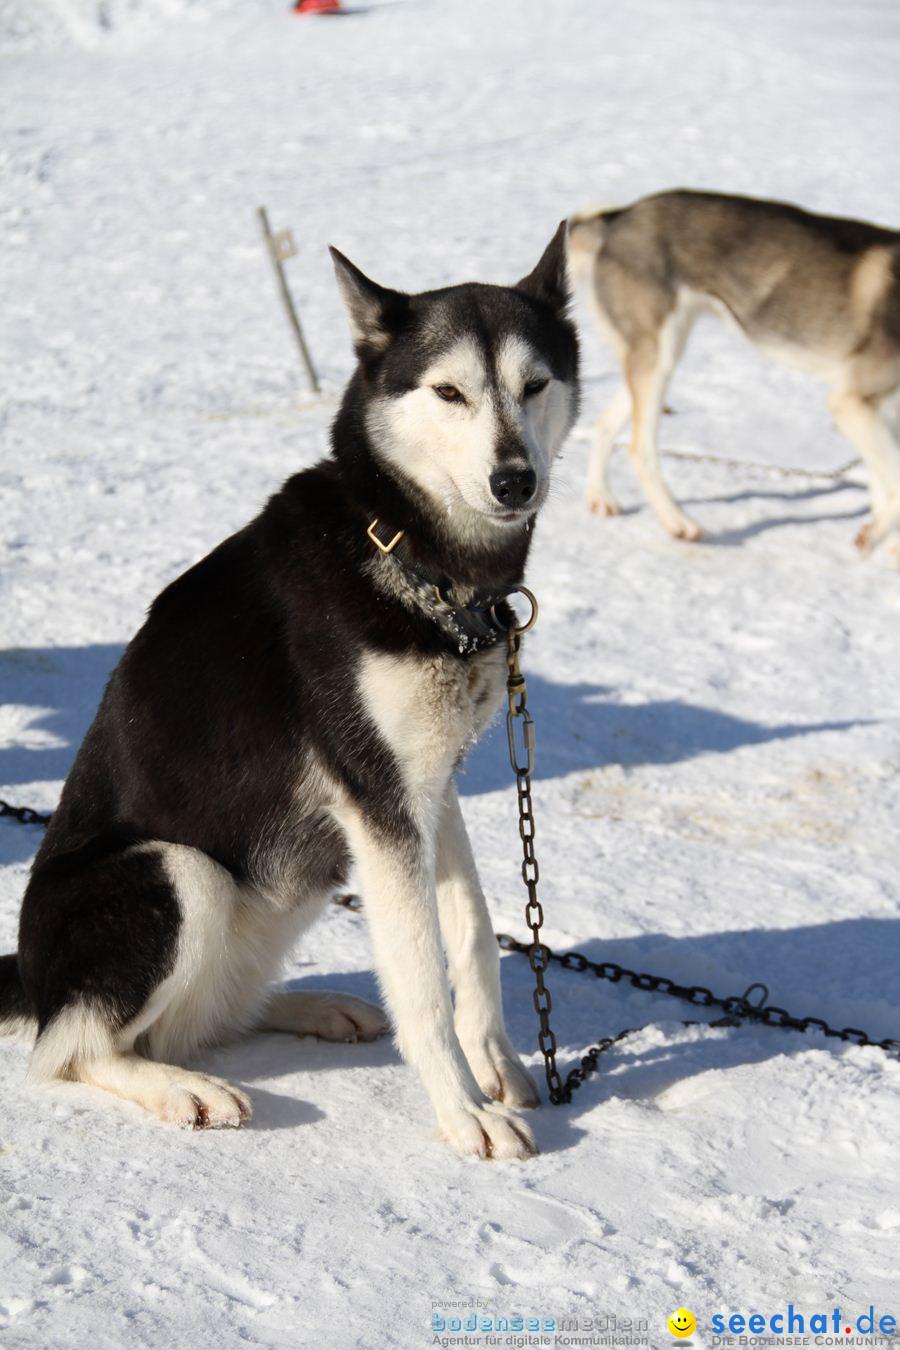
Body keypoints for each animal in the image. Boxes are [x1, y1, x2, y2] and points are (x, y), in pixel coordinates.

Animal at [0, 226, 577, 1155]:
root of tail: (33, 973)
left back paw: (311, 1009)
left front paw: (493, 1062)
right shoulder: (380, 804)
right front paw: (462, 1111)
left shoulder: (428, 786)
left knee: (204, 1018)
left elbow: (471, 933)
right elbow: (421, 978)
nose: (513, 480)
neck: (406, 554)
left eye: (535, 385)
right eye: (449, 392)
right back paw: (182, 1090)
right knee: (72, 1052)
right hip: (178, 872)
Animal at [569, 190, 900, 553]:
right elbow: (894, 489)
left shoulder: (880, 414)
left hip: (655, 358)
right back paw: (676, 521)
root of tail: (618, 217)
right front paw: (873, 537)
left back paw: (600, 497)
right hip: (658, 358)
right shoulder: (851, 404)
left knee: (604, 424)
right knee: (640, 449)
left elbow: (885, 488)